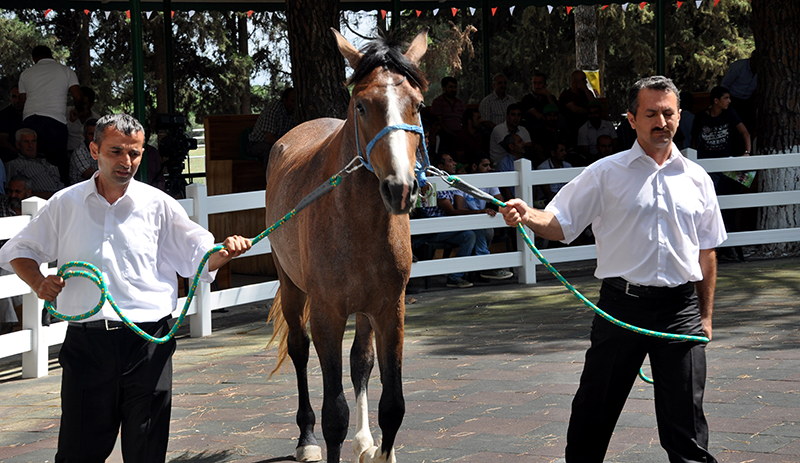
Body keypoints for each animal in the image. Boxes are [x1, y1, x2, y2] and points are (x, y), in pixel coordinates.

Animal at [264, 29, 428, 463]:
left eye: (418, 105)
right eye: (362, 105)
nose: (400, 189)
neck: (357, 222)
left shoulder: (390, 310)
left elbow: (393, 404)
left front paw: (378, 447)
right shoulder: (327, 315)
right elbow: (333, 413)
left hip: (366, 310)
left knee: (360, 362)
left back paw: (364, 440)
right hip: (291, 287)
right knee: (299, 350)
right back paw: (305, 439)